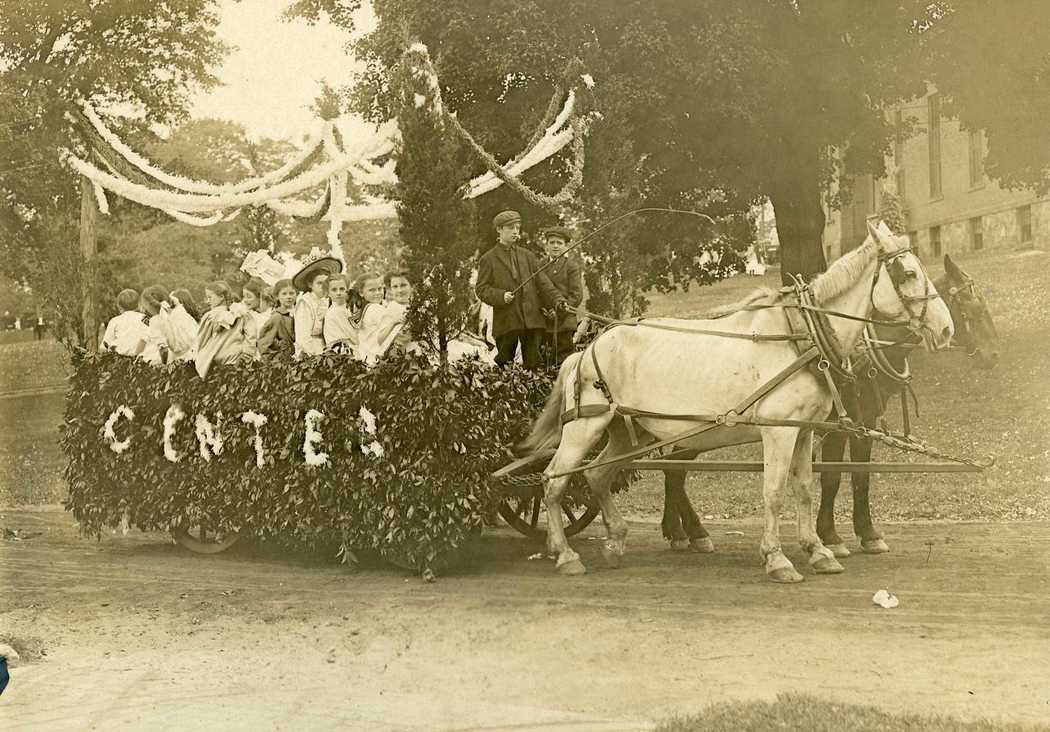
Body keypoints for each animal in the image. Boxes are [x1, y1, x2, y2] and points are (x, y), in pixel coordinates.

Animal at [512, 222, 957, 583]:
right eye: (908, 273)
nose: (946, 329)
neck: (801, 336)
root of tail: (586, 350)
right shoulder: (778, 432)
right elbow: (774, 491)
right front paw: (778, 559)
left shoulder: (804, 431)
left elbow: (804, 490)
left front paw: (818, 551)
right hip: (586, 425)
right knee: (554, 479)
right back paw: (565, 553)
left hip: (627, 430)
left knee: (598, 476)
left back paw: (614, 542)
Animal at [659, 253, 995, 554]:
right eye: (973, 307)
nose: (991, 355)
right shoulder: (837, 425)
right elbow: (832, 477)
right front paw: (830, 535)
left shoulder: (863, 423)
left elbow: (860, 476)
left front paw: (867, 533)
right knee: (674, 471)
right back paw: (692, 531)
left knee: (672, 470)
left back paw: (679, 530)